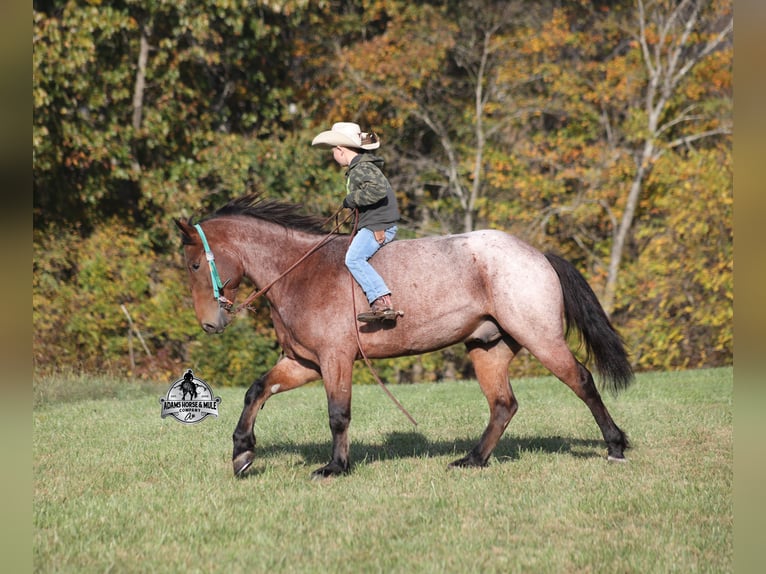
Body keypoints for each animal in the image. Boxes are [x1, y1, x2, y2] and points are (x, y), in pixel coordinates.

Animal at [175, 193, 634, 478]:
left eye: (195, 265)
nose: (209, 323)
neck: (300, 272)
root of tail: (538, 254)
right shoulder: (304, 362)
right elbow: (257, 390)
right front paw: (242, 452)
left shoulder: (335, 359)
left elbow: (338, 414)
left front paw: (335, 467)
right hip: (488, 348)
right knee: (503, 405)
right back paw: (471, 460)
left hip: (542, 339)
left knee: (582, 382)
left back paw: (615, 447)